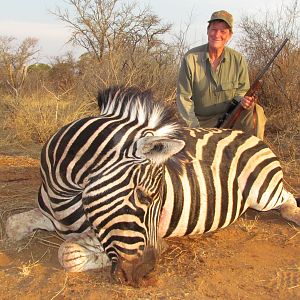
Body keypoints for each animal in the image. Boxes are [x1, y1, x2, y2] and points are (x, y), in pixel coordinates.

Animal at [5, 86, 300, 286]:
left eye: (156, 197)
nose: (144, 273)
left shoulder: (99, 233)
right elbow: (11, 225)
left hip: (263, 193)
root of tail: (249, 136)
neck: (62, 196)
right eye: (144, 196)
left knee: (287, 199)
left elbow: (69, 254)